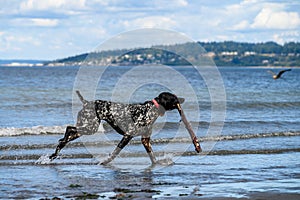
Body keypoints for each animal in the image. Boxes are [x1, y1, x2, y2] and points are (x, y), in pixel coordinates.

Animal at [49, 90, 186, 164]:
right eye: (174, 97)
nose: (183, 99)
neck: (150, 110)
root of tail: (86, 103)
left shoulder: (145, 140)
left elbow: (152, 156)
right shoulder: (128, 135)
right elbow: (115, 152)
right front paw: (106, 161)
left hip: (85, 129)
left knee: (67, 135)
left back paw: (56, 151)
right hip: (89, 128)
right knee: (69, 128)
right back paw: (60, 144)